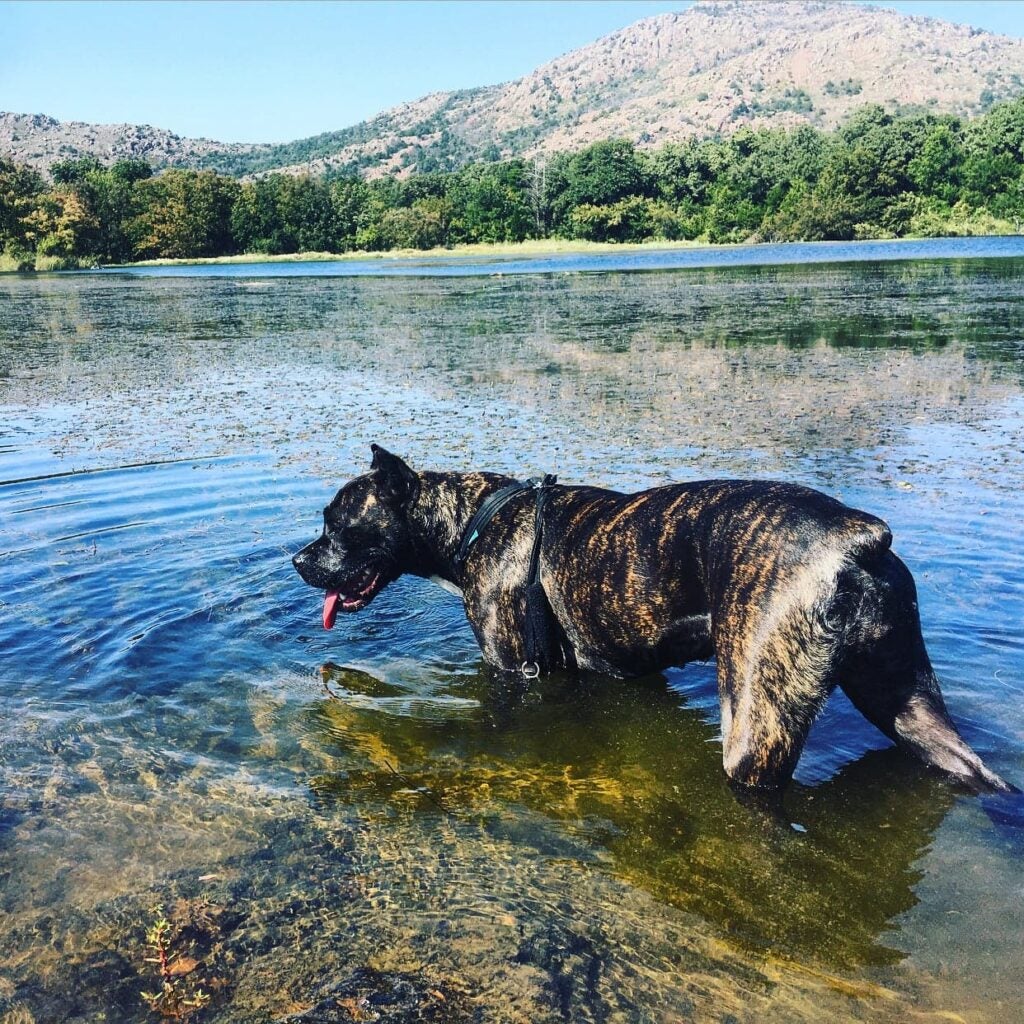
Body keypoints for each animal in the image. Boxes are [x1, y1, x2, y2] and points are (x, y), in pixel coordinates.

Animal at [292, 446, 1011, 790]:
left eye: (336, 525)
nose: (298, 560)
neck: (472, 521)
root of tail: (859, 538)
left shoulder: (512, 674)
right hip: (907, 701)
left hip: (758, 720)